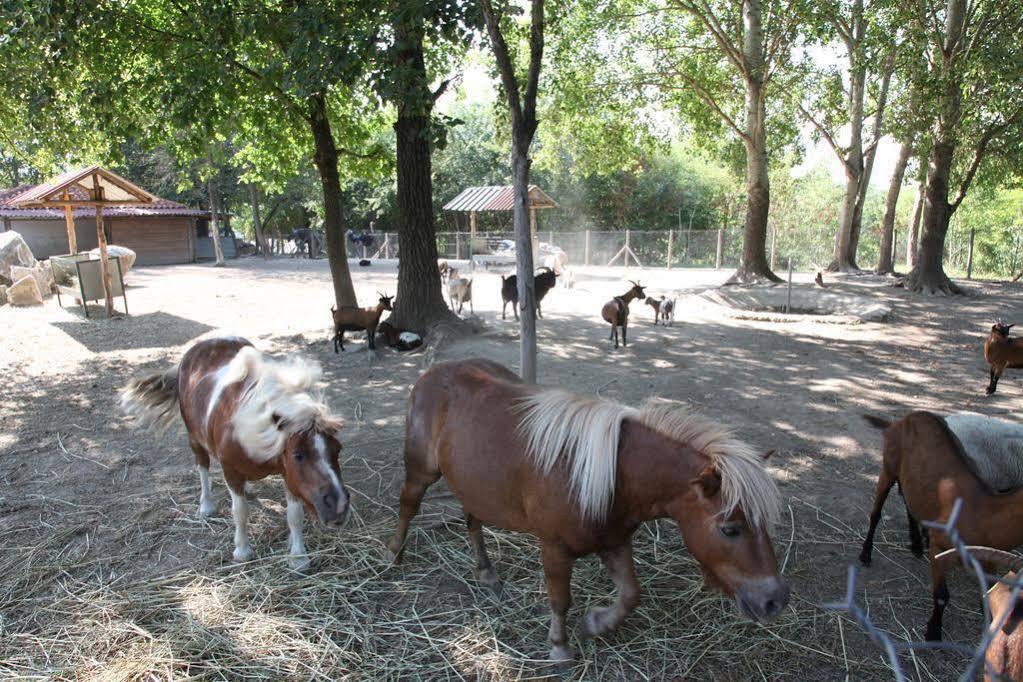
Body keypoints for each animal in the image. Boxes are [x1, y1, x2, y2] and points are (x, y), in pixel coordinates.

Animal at [120, 337, 347, 572]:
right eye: (298, 455)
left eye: (337, 449)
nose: (339, 506)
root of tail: (203, 345)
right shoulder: (231, 471)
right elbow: (240, 511)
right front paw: (242, 551)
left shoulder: (289, 475)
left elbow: (295, 515)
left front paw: (298, 558)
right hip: (195, 439)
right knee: (202, 467)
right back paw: (206, 506)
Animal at [384, 357, 789, 662]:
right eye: (730, 528)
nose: (775, 601)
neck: (611, 476)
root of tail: (434, 371)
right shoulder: (554, 549)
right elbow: (560, 600)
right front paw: (560, 648)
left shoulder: (614, 541)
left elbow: (631, 594)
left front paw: (598, 624)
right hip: (422, 471)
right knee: (408, 505)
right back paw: (394, 554)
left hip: (475, 484)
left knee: (472, 519)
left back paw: (485, 571)